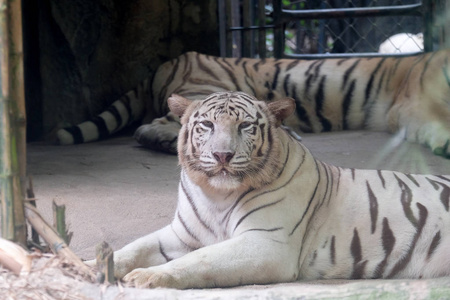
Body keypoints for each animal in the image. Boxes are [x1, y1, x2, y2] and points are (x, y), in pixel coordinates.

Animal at [87, 91, 450, 288]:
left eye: (245, 126)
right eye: (207, 125)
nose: (222, 155)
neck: (216, 196)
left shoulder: (266, 244)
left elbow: (202, 259)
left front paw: (147, 278)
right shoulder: (180, 234)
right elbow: (131, 248)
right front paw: (88, 267)